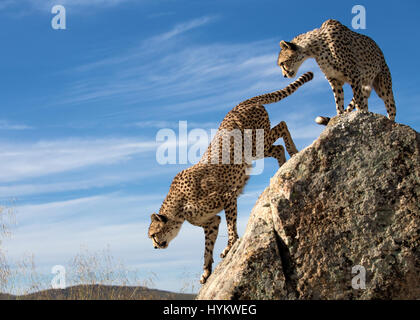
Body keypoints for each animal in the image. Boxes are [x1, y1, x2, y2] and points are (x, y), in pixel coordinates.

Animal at [148, 72, 312, 282]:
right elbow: (207, 247)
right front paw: (206, 272)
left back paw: (293, 152)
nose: (154, 246)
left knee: (282, 126)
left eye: (153, 234)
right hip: (256, 151)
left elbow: (231, 225)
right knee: (277, 148)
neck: (178, 210)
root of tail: (242, 103)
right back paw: (282, 165)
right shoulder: (211, 222)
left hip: (256, 143)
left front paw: (229, 247)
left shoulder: (228, 196)